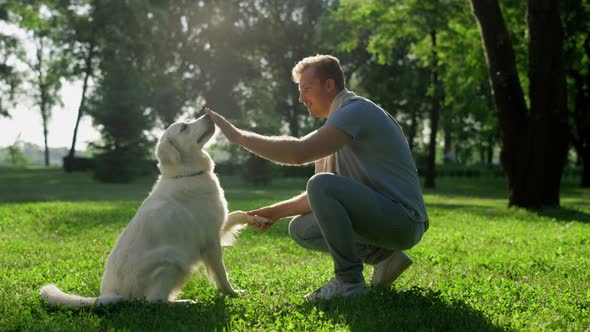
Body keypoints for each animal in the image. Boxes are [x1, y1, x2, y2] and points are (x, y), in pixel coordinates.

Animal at [41, 114, 270, 308]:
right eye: (184, 127)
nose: (209, 114)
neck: (186, 174)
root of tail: (111, 294)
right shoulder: (210, 240)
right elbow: (221, 273)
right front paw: (232, 293)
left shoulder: (219, 225)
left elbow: (238, 214)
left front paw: (256, 218)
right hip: (172, 260)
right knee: (155, 301)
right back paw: (185, 302)